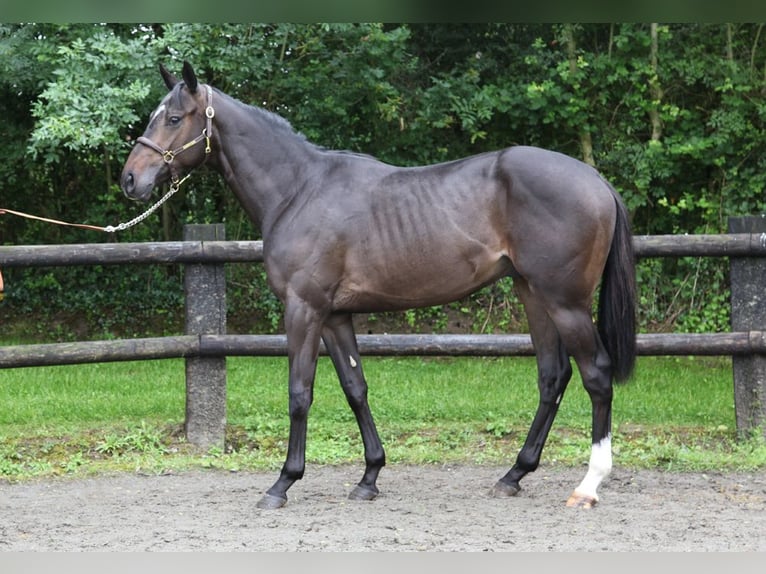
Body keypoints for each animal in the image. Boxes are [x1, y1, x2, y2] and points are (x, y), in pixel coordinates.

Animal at [121, 63, 636, 510]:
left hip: (565, 302)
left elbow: (299, 392)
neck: (298, 190)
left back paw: (588, 485)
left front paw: (283, 482)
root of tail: (595, 180)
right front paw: (369, 476)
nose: (130, 179)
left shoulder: (303, 309)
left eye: (173, 118)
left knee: (596, 374)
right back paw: (513, 474)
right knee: (553, 376)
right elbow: (355, 387)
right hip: (532, 293)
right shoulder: (335, 315)